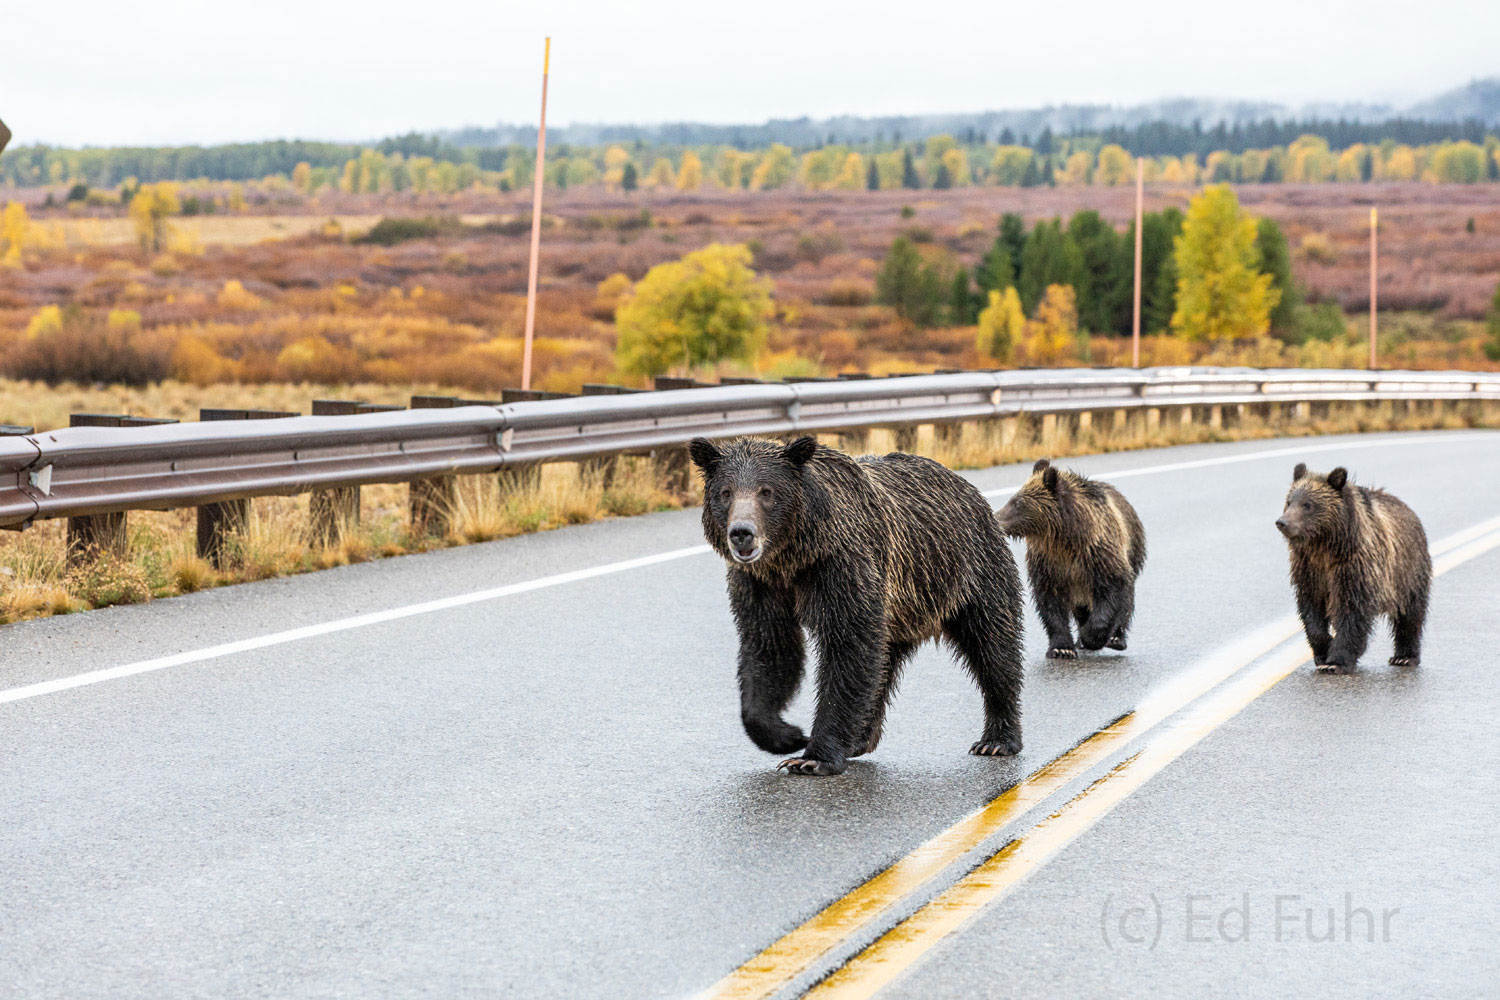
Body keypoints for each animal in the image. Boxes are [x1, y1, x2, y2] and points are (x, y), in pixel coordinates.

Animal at [687, 434, 1020, 779]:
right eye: (725, 492)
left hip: (968, 572)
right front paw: (787, 735)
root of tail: (966, 486)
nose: (742, 533)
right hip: (901, 611)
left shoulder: (842, 567)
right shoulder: (761, 586)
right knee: (883, 665)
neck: (793, 558)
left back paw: (997, 739)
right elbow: (771, 649)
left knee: (993, 646)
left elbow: (847, 647)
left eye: (767, 491)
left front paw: (813, 757)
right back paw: (861, 738)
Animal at [996, 458, 1146, 659]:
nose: (995, 517)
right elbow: (1050, 604)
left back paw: (1116, 638)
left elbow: (1113, 590)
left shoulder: (1099, 553)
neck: (1066, 538)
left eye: (1017, 502)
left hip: (1132, 551)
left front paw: (1091, 637)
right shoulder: (1048, 564)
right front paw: (1062, 648)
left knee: (1126, 599)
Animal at [1278, 464, 1428, 671]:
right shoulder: (1309, 570)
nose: (1282, 522)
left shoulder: (1354, 566)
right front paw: (1323, 652)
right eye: (1289, 501)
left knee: (1410, 615)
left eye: (1307, 504)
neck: (1324, 546)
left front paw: (1336, 661)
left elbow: (1352, 611)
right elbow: (1311, 610)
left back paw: (1404, 656)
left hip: (1407, 572)